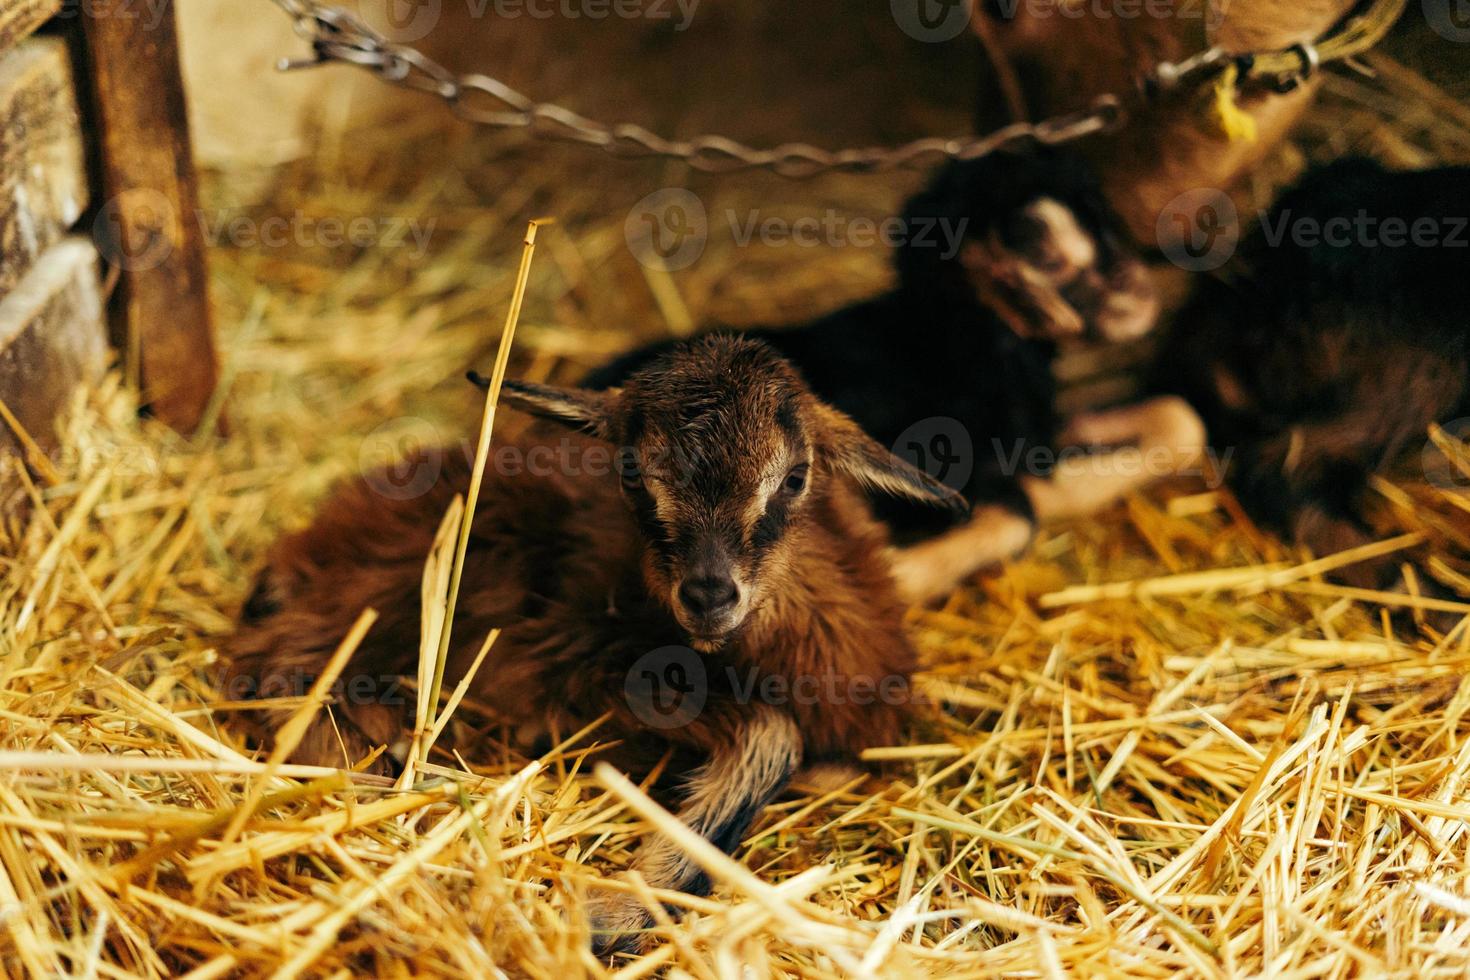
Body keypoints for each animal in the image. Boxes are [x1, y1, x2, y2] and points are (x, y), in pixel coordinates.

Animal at [220, 334, 964, 952]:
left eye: (795, 475)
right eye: (633, 473)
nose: (708, 595)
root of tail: (312, 539)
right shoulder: (590, 661)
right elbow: (773, 733)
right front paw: (622, 910)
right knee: (274, 661)